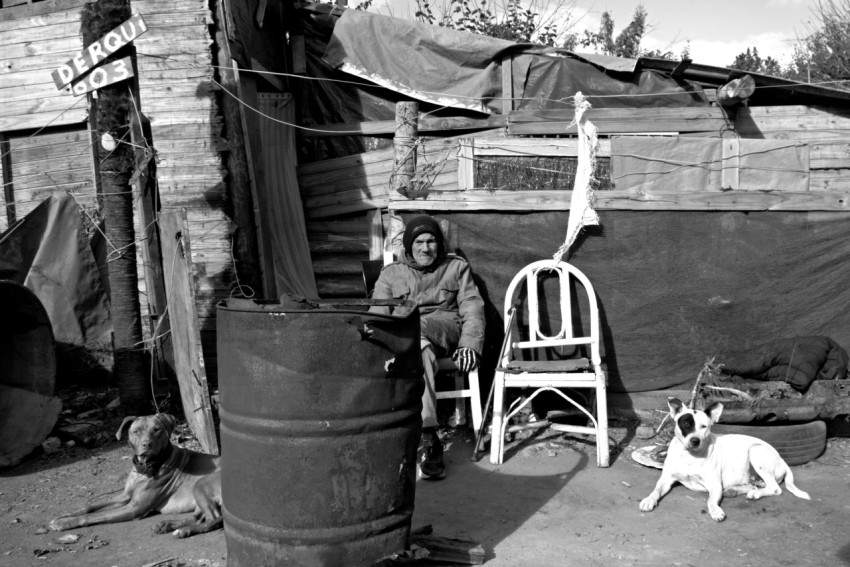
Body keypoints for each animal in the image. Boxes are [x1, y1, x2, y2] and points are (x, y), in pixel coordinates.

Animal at [49, 414, 222, 540]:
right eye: (136, 431)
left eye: (157, 430)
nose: (147, 444)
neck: (143, 469)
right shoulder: (125, 496)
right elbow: (91, 507)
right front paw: (62, 517)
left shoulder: (134, 507)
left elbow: (96, 515)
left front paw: (65, 523)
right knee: (200, 517)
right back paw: (167, 525)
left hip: (200, 484)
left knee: (214, 519)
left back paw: (183, 531)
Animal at [636, 398, 808, 520]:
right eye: (686, 423)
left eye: (704, 426)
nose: (695, 441)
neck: (689, 456)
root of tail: (781, 459)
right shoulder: (666, 480)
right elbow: (656, 491)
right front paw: (649, 500)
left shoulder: (715, 485)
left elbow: (710, 501)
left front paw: (716, 510)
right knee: (754, 484)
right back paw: (737, 490)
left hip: (755, 450)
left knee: (775, 488)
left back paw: (755, 494)